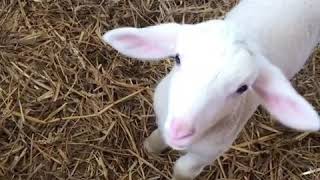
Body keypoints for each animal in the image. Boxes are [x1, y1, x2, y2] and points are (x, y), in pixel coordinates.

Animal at [102, 0, 320, 179]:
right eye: (177, 58)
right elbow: (158, 135)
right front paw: (150, 148)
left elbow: (183, 169)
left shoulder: (211, 151)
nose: (180, 131)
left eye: (243, 88)